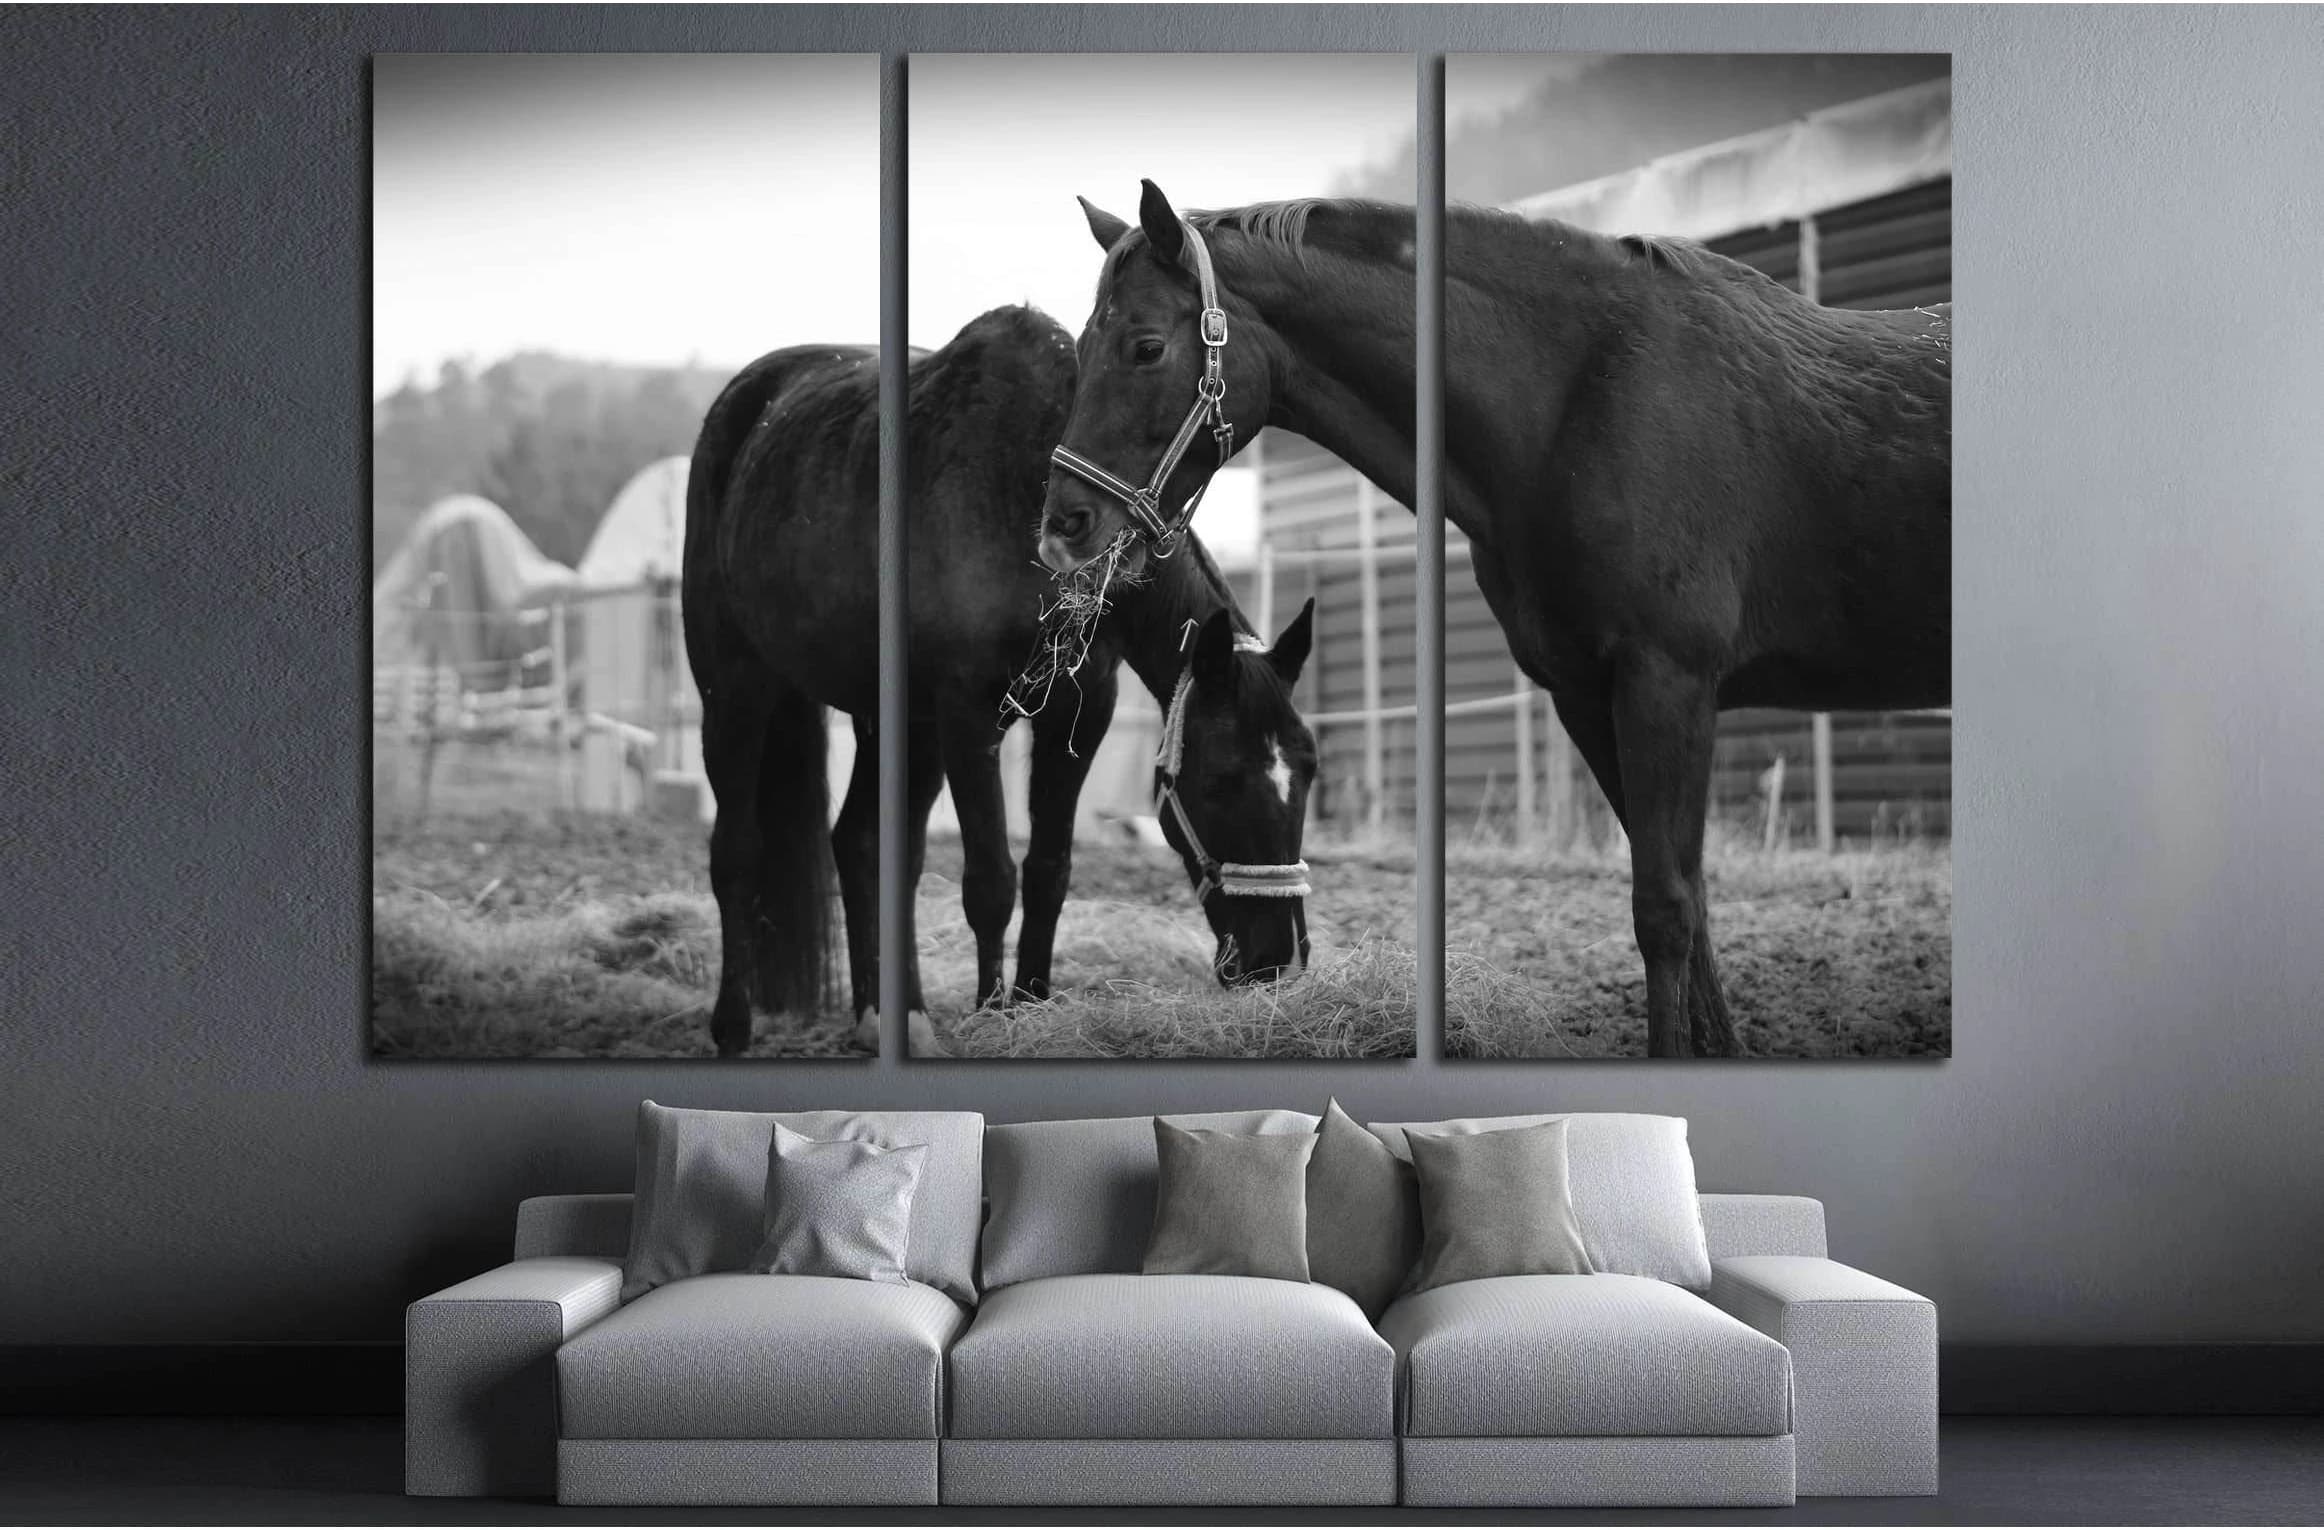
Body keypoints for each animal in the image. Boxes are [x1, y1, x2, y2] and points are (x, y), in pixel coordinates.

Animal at [684, 302, 1317, 1058]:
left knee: (863, 844)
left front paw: (1032, 1003)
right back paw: (733, 1025)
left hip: (894, 723)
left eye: (1309, 774)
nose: (1278, 960)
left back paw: (888, 1016)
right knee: (736, 854)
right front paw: (993, 1015)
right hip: (735, 691)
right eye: (1221, 781)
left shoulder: (1081, 711)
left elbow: (1048, 870)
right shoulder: (968, 715)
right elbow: (990, 880)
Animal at [1038, 181, 1950, 1058]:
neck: (1586, 398)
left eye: (1146, 346)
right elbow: (1689, 896)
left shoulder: (1668, 685)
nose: (1063, 525)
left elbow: (1664, 909)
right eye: (1080, 350)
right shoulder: (1588, 695)